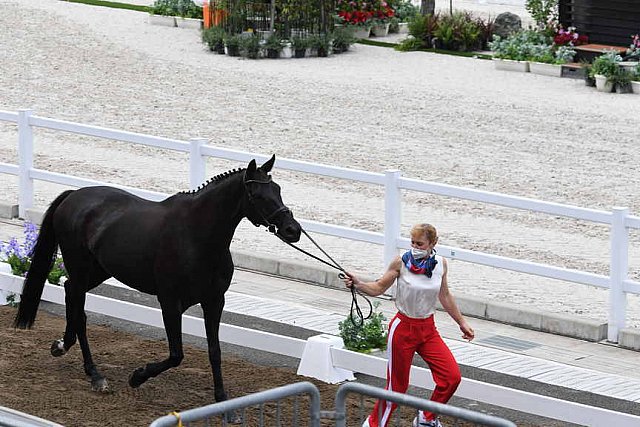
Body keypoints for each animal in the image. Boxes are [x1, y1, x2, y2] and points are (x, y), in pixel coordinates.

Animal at [13, 154, 302, 412]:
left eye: (278, 189)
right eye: (258, 195)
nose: (293, 230)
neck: (196, 236)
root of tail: (74, 196)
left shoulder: (214, 301)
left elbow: (214, 350)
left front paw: (223, 401)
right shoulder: (170, 303)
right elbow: (176, 354)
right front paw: (137, 376)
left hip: (99, 270)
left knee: (69, 291)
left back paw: (64, 347)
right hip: (82, 267)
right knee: (79, 308)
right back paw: (95, 375)